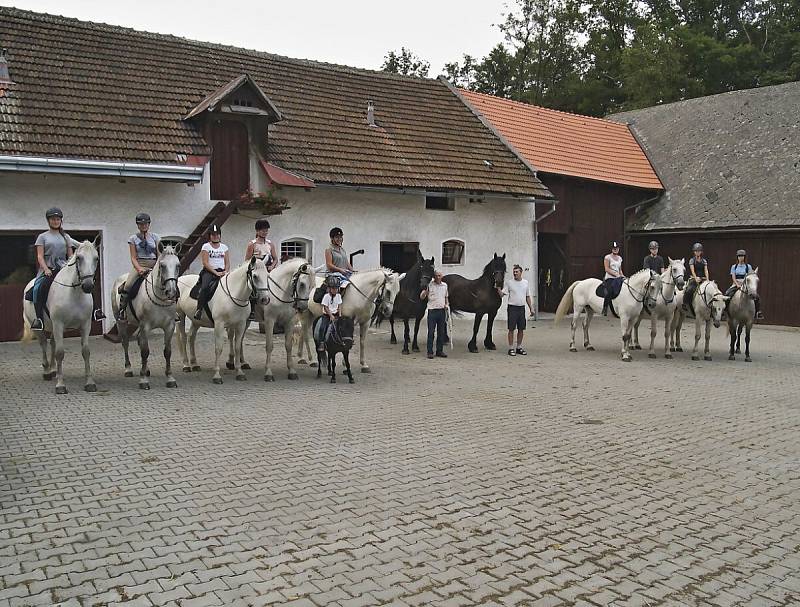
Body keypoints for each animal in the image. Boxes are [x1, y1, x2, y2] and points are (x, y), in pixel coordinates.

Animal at [21, 238, 101, 394]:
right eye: (79, 258)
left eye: (96, 258)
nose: (88, 286)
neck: (74, 293)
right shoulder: (59, 324)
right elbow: (60, 352)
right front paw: (60, 385)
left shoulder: (85, 325)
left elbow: (86, 352)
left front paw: (89, 383)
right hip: (39, 327)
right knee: (44, 344)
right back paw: (47, 372)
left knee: (52, 343)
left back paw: (53, 370)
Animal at [110, 243, 182, 390]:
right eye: (162, 265)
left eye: (178, 265)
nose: (171, 292)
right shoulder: (145, 326)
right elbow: (145, 351)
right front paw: (143, 381)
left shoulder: (169, 326)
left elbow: (167, 352)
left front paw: (170, 378)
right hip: (121, 322)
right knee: (125, 342)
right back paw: (128, 369)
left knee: (138, 340)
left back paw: (146, 370)